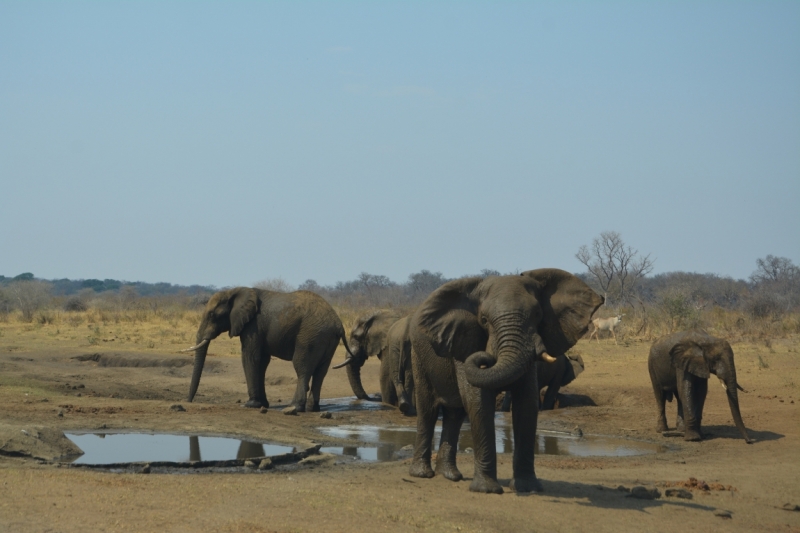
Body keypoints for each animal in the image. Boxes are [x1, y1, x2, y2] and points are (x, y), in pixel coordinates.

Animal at [187, 286, 354, 412]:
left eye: (212, 315)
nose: (188, 401)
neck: (234, 291)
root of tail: (338, 324)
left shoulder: (253, 326)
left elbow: (250, 357)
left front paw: (249, 405)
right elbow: (262, 361)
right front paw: (263, 405)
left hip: (310, 335)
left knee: (302, 367)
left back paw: (293, 408)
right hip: (326, 339)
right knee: (321, 372)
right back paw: (312, 409)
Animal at [410, 268, 604, 492]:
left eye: (537, 315)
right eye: (484, 320)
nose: (486, 357)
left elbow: (526, 403)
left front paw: (527, 487)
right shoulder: (464, 341)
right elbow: (478, 401)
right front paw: (487, 490)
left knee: (454, 414)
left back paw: (451, 476)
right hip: (418, 357)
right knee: (428, 411)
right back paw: (422, 474)